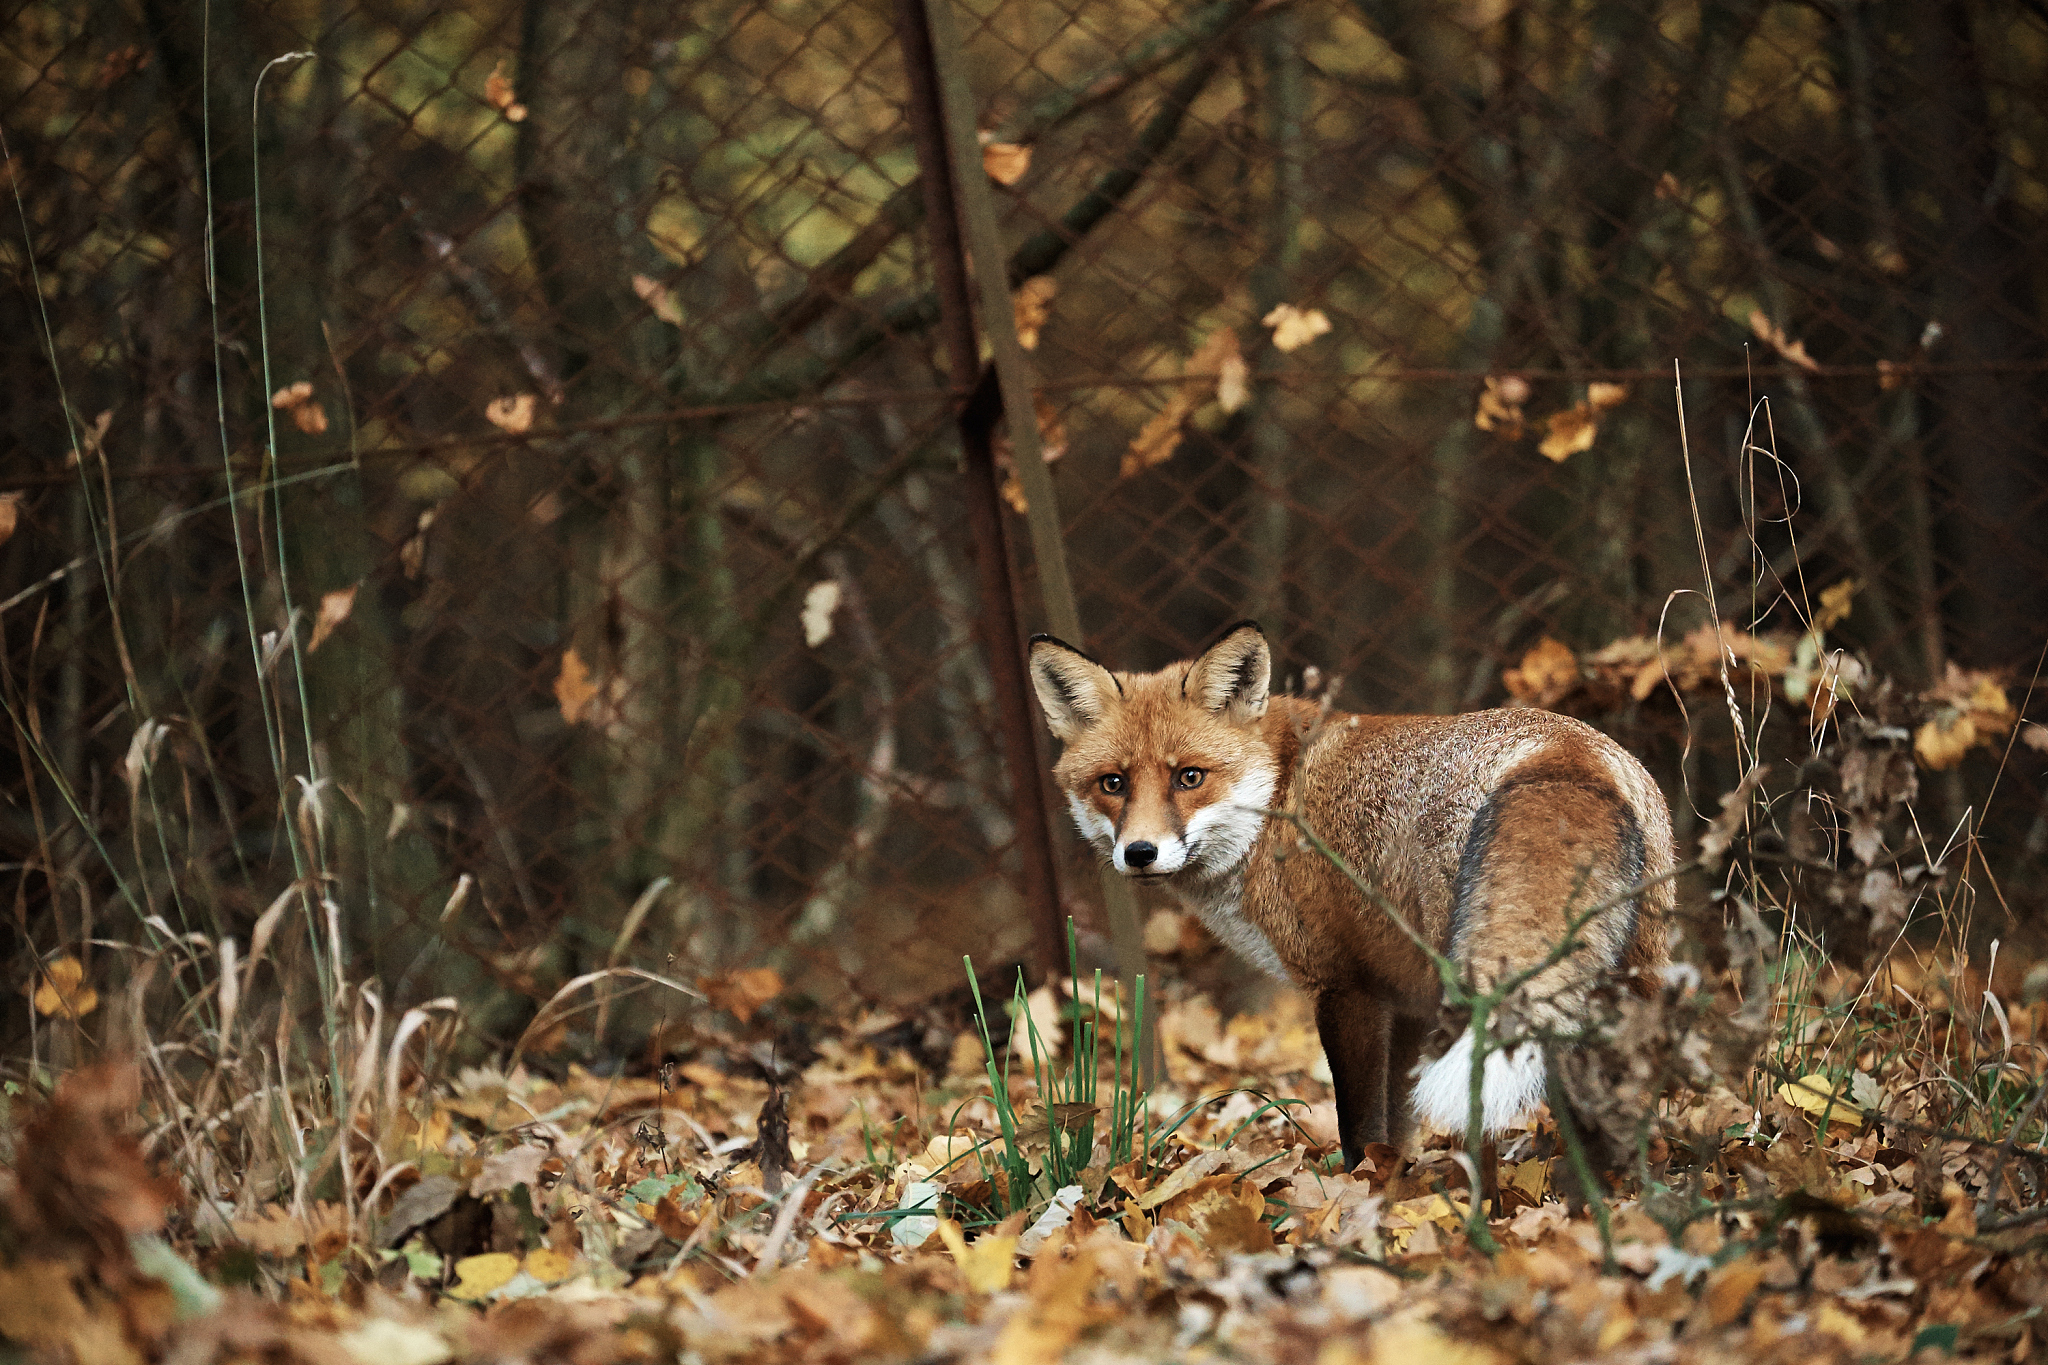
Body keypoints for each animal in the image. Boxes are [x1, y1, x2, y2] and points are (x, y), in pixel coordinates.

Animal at [1028, 620, 1673, 1173]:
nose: (1140, 852)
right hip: (1621, 990)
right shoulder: (1407, 997)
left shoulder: (1346, 986)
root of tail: (1566, 755)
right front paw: (1399, 1188)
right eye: (1113, 783)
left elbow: (1360, 1126)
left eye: (1190, 777)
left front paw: (1361, 1190)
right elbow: (1401, 1125)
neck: (1277, 803)